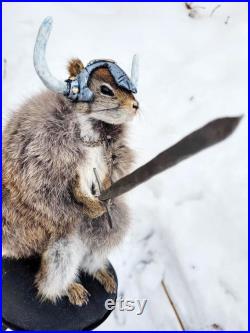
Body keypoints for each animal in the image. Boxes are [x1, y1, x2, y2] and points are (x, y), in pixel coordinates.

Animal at [1, 16, 139, 304]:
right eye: (106, 90)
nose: (136, 106)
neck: (91, 132)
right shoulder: (57, 160)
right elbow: (72, 187)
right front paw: (93, 206)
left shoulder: (106, 157)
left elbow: (109, 172)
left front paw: (106, 192)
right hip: (61, 248)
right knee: (51, 277)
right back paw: (72, 289)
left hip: (106, 233)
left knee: (93, 255)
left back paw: (101, 274)